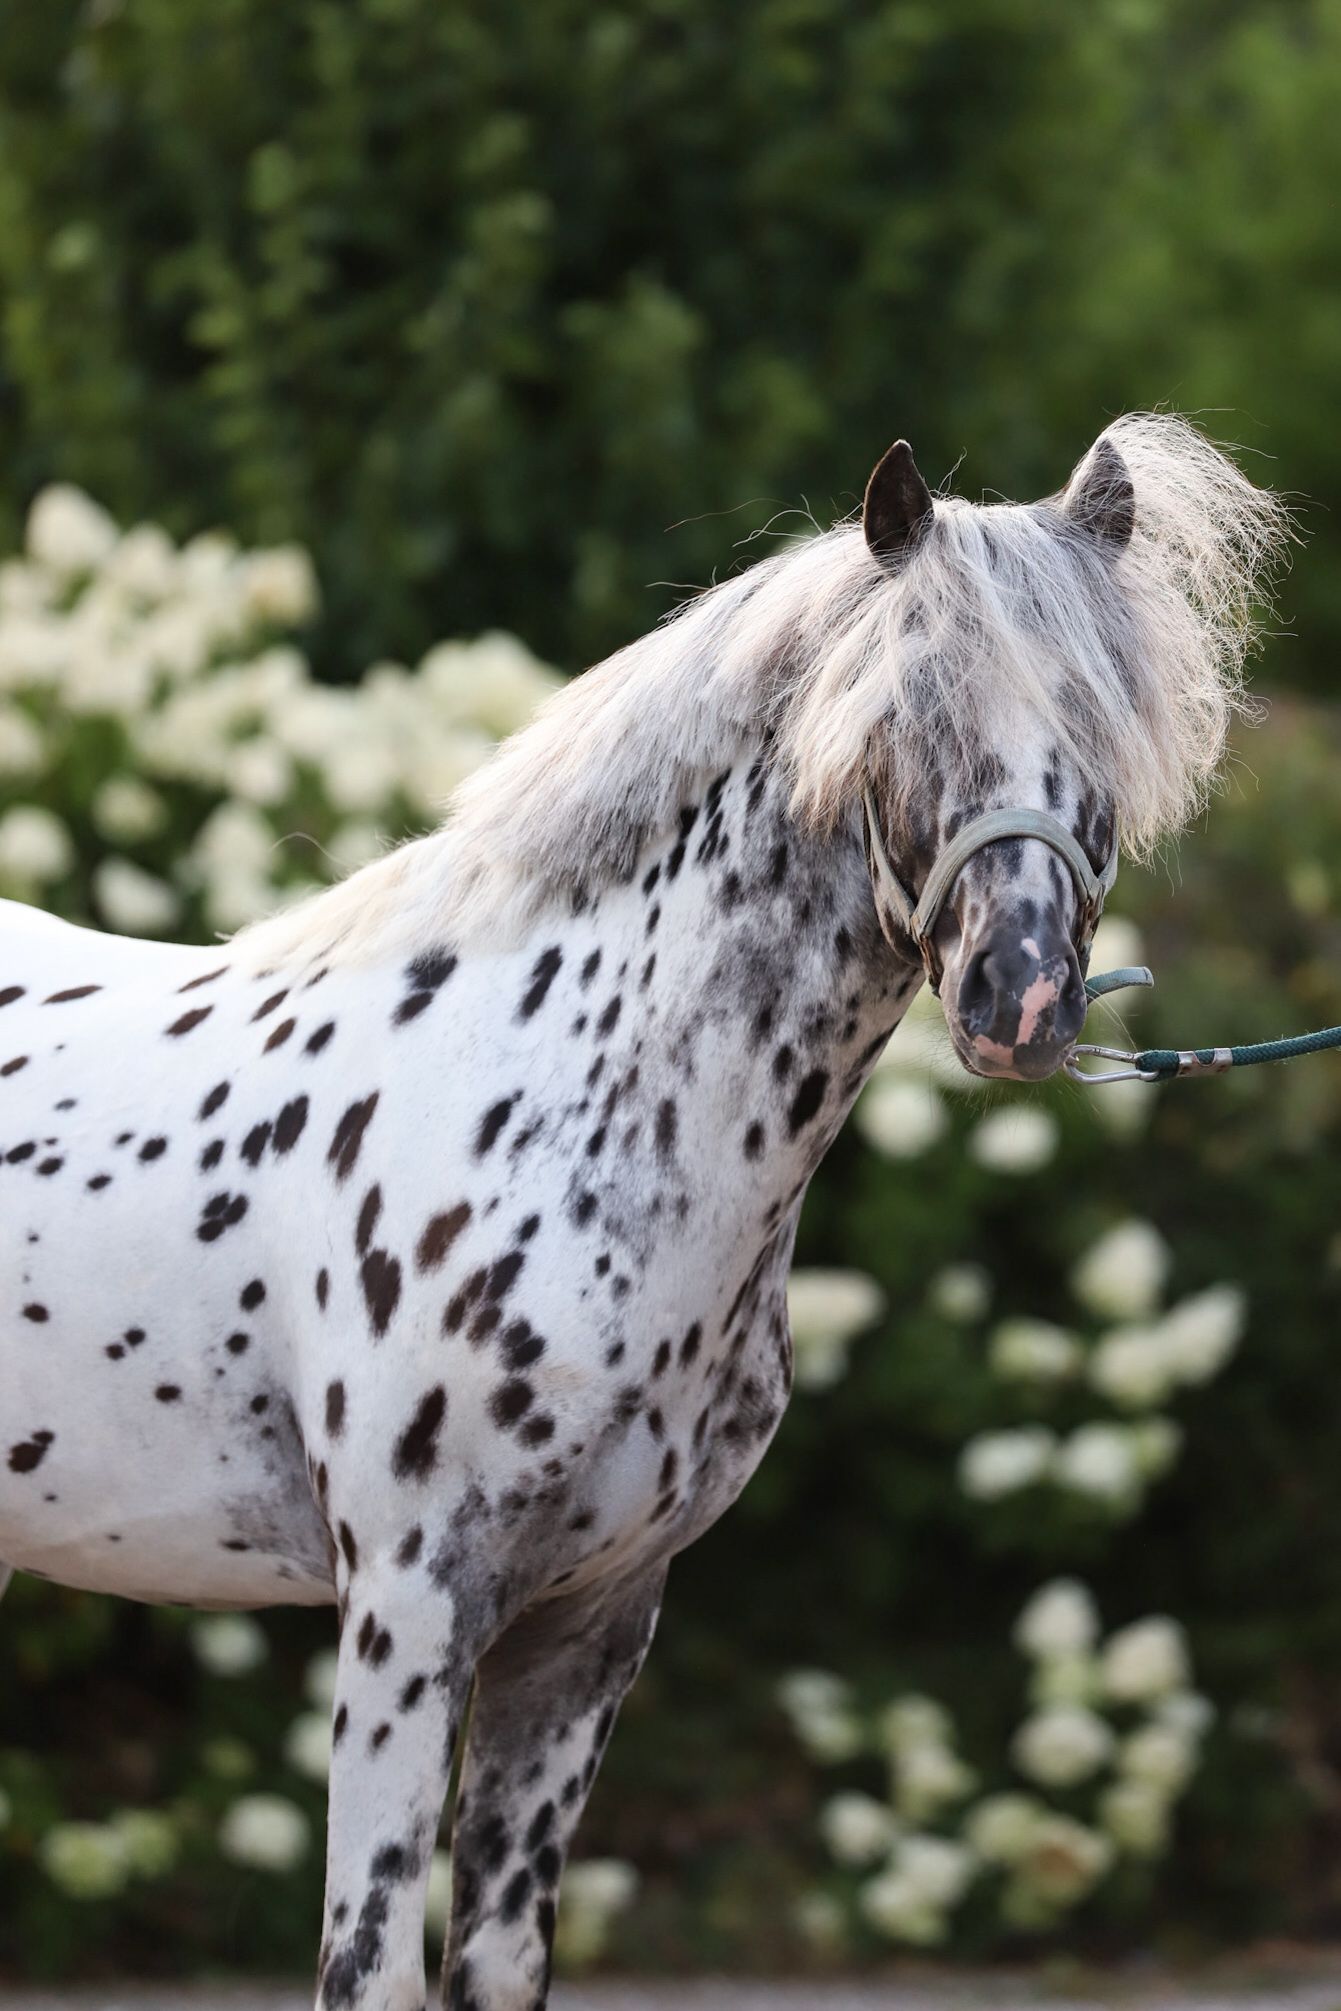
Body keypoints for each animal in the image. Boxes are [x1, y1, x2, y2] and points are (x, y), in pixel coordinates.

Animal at [0, 413, 1284, 2010]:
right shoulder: (408, 1616)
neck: (555, 1102)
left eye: (1106, 725)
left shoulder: (587, 1628)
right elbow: (372, 1967)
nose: (1023, 999)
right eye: (900, 719)